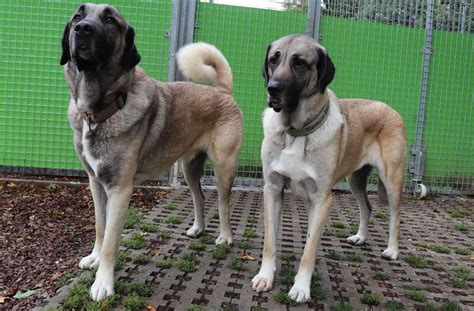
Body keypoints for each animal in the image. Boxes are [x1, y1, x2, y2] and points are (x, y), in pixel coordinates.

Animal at [60, 3, 243, 302]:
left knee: (223, 203)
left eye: (110, 19)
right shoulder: (95, 183)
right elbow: (100, 226)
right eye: (78, 15)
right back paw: (198, 228)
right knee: (200, 197)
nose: (83, 28)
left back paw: (225, 237)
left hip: (223, 167)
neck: (103, 111)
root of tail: (221, 90)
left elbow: (111, 239)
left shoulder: (120, 190)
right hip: (189, 168)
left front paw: (103, 283)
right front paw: (94, 257)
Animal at [250, 35, 406, 304]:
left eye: (300, 62)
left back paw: (392, 250)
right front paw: (265, 276)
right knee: (367, 207)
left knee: (395, 216)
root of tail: (391, 109)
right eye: (273, 59)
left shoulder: (322, 199)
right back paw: (360, 237)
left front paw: (301, 287)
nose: (273, 88)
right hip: (356, 181)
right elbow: (270, 241)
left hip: (392, 180)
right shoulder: (272, 188)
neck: (296, 131)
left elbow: (309, 249)